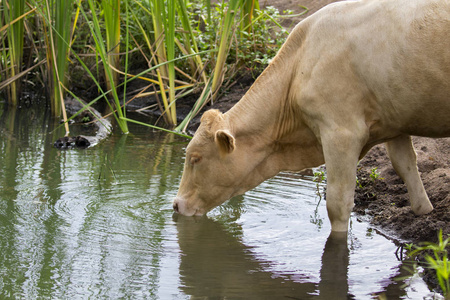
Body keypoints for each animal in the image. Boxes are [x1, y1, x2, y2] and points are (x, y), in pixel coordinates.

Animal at [173, 0, 450, 232]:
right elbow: (406, 167)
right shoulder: (396, 123)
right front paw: (425, 214)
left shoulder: (341, 132)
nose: (175, 204)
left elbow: (338, 204)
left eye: (195, 158)